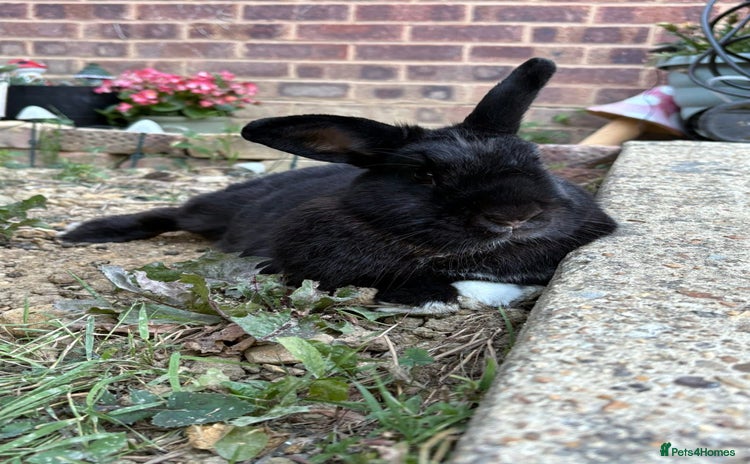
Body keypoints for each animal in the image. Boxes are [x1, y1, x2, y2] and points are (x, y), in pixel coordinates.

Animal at [62, 58, 617, 314]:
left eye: (533, 158)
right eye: (424, 175)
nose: (516, 216)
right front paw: (447, 295)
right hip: (210, 211)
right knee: (172, 214)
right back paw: (85, 232)